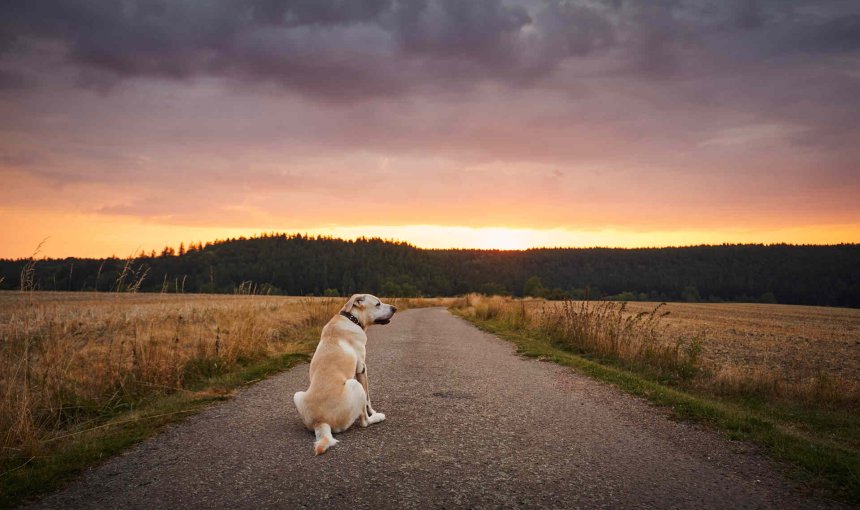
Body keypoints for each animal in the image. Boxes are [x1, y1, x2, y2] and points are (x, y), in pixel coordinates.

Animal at [290, 292, 394, 456]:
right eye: (378, 304)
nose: (395, 308)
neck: (352, 318)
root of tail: (321, 422)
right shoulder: (362, 369)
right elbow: (368, 398)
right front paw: (373, 412)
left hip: (297, 395)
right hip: (355, 384)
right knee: (364, 422)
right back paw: (378, 418)